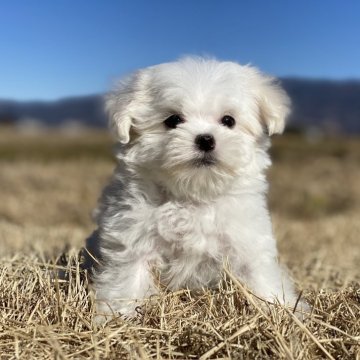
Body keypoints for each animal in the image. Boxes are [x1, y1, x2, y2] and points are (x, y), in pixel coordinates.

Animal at [86, 55, 306, 318]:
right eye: (173, 120)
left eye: (228, 120)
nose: (205, 139)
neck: (195, 195)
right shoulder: (134, 240)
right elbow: (129, 280)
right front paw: (118, 315)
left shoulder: (247, 242)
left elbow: (260, 277)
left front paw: (281, 309)